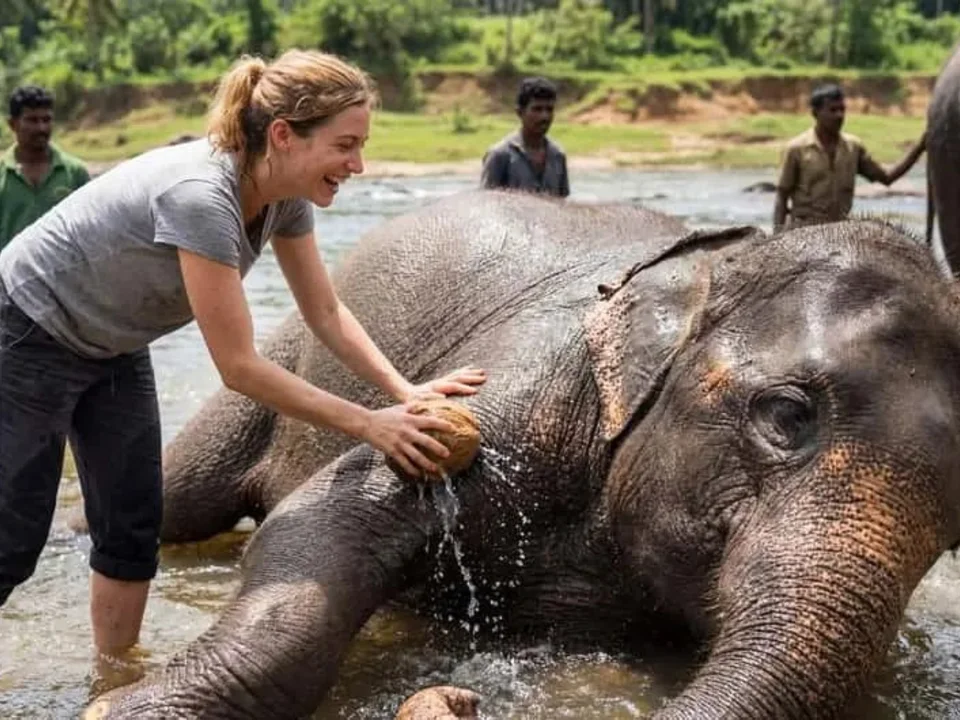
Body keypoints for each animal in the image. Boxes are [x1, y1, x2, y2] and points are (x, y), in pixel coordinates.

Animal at [90, 190, 960, 719]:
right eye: (787, 414)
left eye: (953, 530)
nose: (456, 700)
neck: (714, 270)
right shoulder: (528, 381)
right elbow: (324, 523)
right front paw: (124, 710)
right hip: (280, 354)